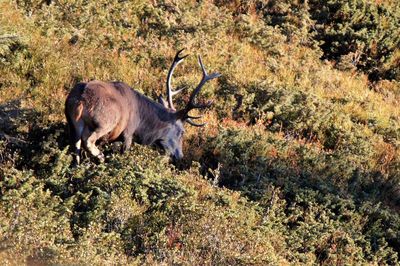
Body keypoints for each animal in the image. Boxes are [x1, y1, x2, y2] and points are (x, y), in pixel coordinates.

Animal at [66, 48, 222, 163]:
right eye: (182, 132)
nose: (180, 156)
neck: (142, 123)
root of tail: (81, 100)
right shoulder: (128, 133)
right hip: (104, 123)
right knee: (88, 140)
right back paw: (100, 157)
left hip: (72, 124)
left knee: (75, 149)